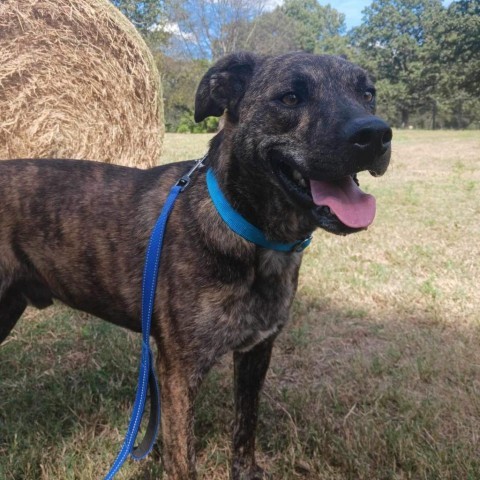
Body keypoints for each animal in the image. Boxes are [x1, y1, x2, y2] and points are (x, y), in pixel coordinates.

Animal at [0, 50, 390, 478]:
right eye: (290, 98)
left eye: (367, 93)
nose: (376, 135)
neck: (251, 237)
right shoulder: (179, 374)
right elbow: (183, 459)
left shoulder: (256, 352)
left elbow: (245, 429)